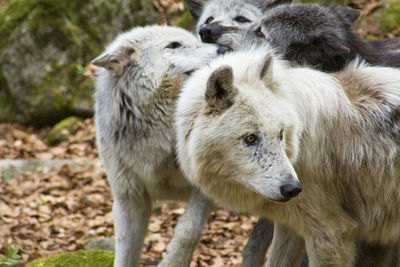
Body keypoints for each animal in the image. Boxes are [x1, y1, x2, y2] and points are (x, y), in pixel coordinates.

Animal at [92, 25, 220, 267]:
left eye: (196, 39)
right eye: (174, 45)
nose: (224, 48)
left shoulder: (205, 186)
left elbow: (188, 230)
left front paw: (172, 262)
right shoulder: (129, 198)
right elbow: (125, 249)